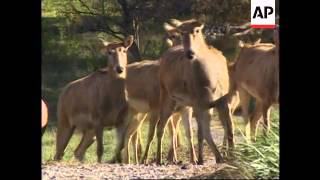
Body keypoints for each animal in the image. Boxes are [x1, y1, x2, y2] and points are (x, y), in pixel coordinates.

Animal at [156, 19, 235, 165]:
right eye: (182, 32)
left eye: (197, 30)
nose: (190, 53)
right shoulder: (198, 102)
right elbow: (200, 133)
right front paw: (201, 159)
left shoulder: (222, 100)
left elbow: (229, 129)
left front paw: (233, 156)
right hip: (166, 96)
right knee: (161, 126)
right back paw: (159, 160)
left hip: (187, 105)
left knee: (198, 130)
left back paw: (217, 157)